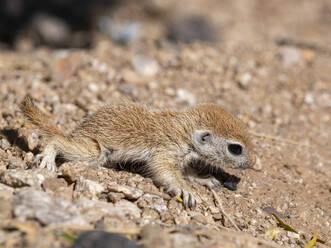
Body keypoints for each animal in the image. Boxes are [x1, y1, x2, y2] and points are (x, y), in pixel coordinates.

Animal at [19, 96, 255, 207]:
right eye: (235, 149)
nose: (252, 163)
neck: (184, 130)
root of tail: (77, 131)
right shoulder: (166, 149)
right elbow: (163, 170)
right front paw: (186, 190)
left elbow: (186, 171)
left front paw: (204, 178)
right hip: (93, 150)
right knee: (59, 141)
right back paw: (48, 156)